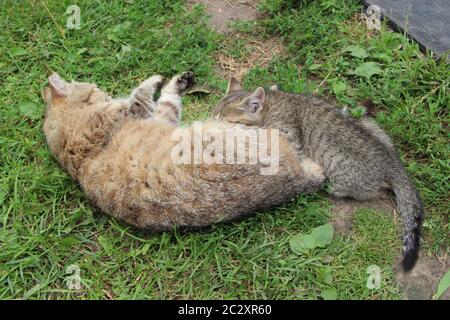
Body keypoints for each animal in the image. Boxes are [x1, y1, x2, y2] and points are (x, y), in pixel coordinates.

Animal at [42, 72, 326, 232]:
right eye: (93, 87)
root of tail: (295, 180)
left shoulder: (159, 115)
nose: (104, 91)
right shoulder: (141, 111)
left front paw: (176, 81)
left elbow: (165, 99)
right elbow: (141, 96)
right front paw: (154, 83)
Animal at [213, 77, 424, 270]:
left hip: (339, 168)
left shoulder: (290, 139)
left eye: (224, 119)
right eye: (214, 114)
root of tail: (392, 162)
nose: (211, 123)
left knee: (373, 190)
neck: (271, 104)